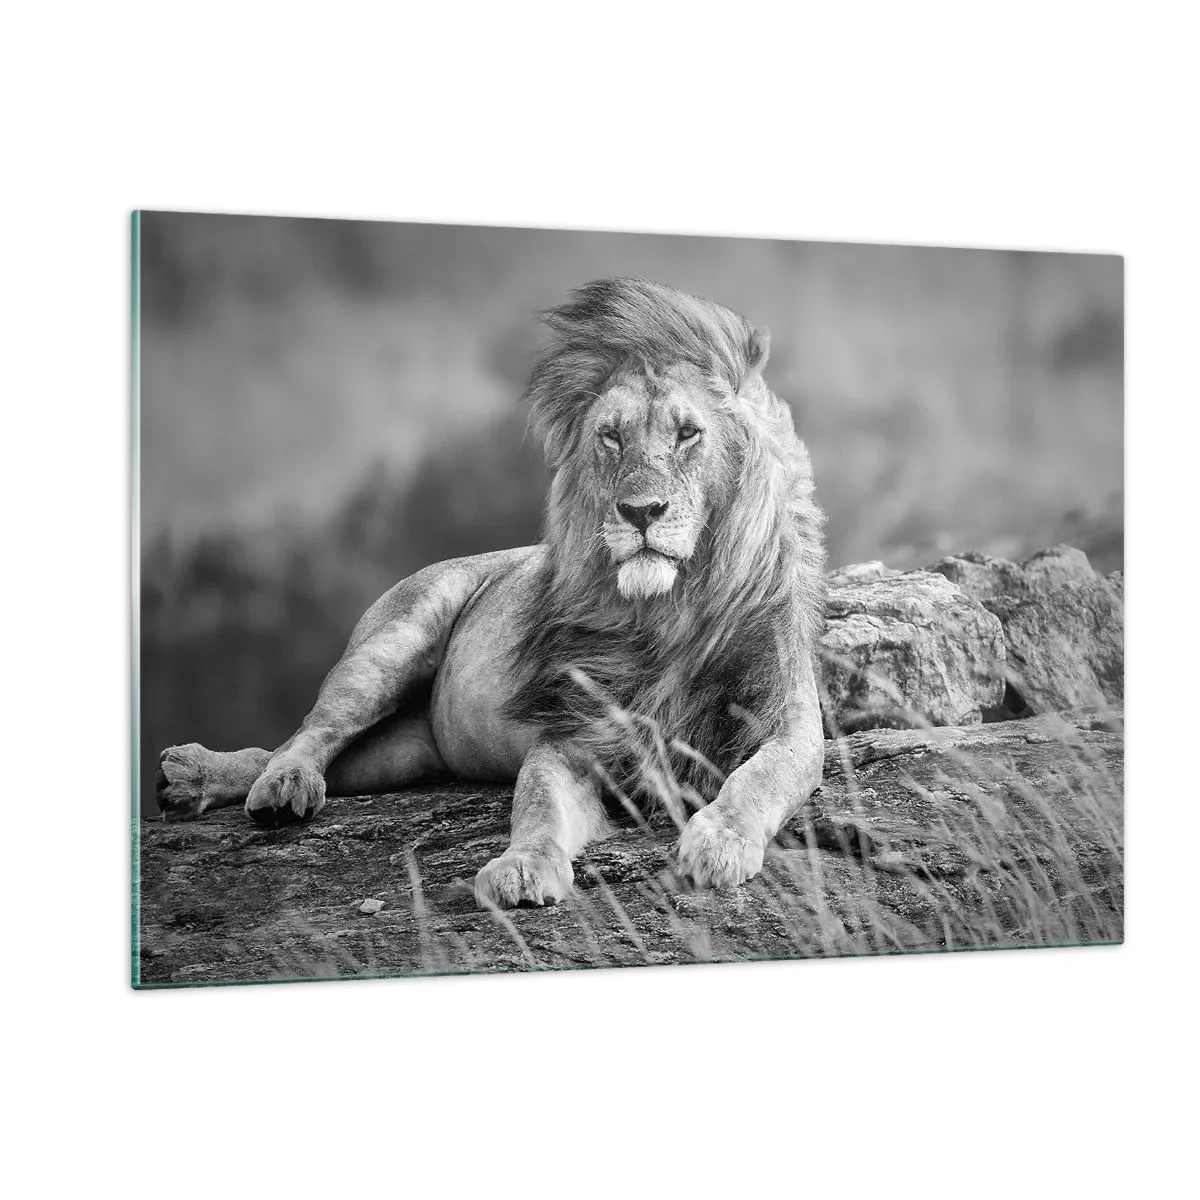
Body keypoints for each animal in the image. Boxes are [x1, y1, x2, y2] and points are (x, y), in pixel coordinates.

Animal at [156, 277, 827, 908]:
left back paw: (196, 780)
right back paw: (262, 784)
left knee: (320, 756)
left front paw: (718, 842)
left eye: (689, 433)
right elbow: (536, 804)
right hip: (391, 644)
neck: (669, 612)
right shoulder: (573, 735)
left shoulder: (788, 721)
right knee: (306, 734)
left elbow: (760, 778)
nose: (640, 512)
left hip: (403, 754)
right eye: (610, 438)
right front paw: (522, 867)